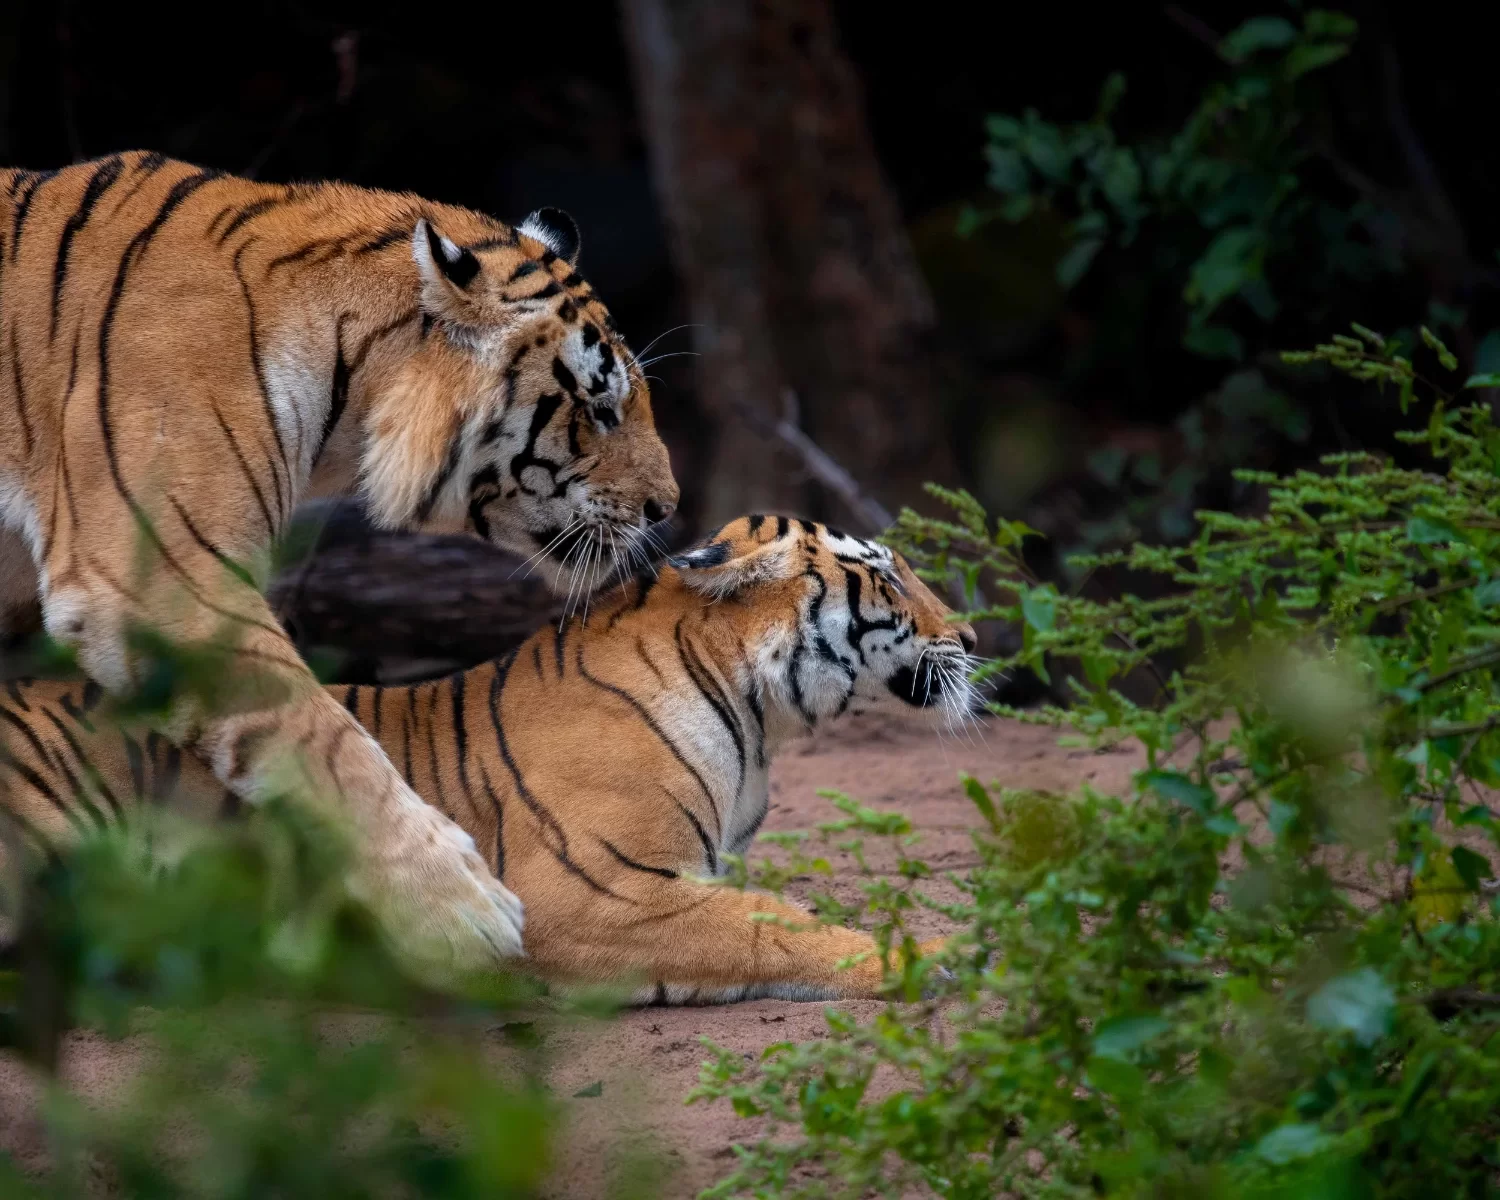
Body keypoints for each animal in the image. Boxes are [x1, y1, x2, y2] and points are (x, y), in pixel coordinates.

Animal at [0, 151, 679, 977]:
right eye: (600, 409)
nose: (668, 507)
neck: (345, 380)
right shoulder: (156, 574)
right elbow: (319, 734)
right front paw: (463, 912)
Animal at [0, 516, 979, 1002]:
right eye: (889, 577)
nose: (973, 636)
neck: (761, 719)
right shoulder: (589, 890)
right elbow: (769, 926)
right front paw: (933, 956)